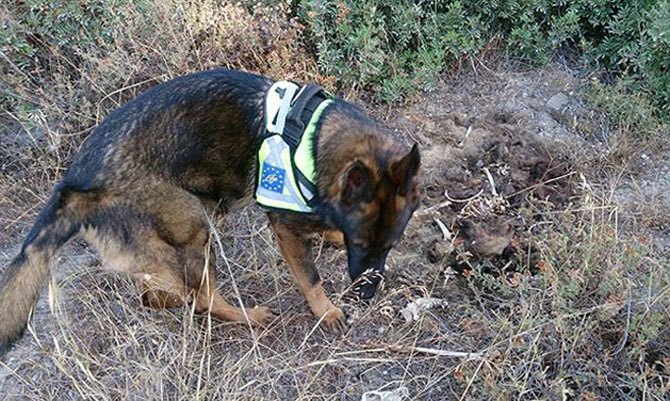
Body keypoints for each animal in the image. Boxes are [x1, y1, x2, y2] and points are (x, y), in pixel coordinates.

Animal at [0, 69, 420, 354]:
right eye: (360, 243)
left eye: (388, 245)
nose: (366, 295)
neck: (315, 139)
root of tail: (76, 186)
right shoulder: (285, 229)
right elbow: (310, 278)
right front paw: (327, 312)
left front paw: (331, 237)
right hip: (194, 224)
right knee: (202, 298)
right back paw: (248, 317)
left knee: (155, 293)